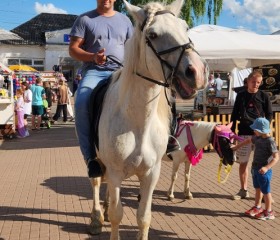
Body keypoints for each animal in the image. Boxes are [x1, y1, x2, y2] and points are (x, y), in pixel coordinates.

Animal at [89, 0, 208, 239]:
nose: (198, 72)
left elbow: (143, 218)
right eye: (152, 35)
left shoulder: (151, 174)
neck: (137, 122)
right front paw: (107, 217)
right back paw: (97, 218)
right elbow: (117, 215)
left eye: (185, 27)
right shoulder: (116, 173)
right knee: (96, 182)